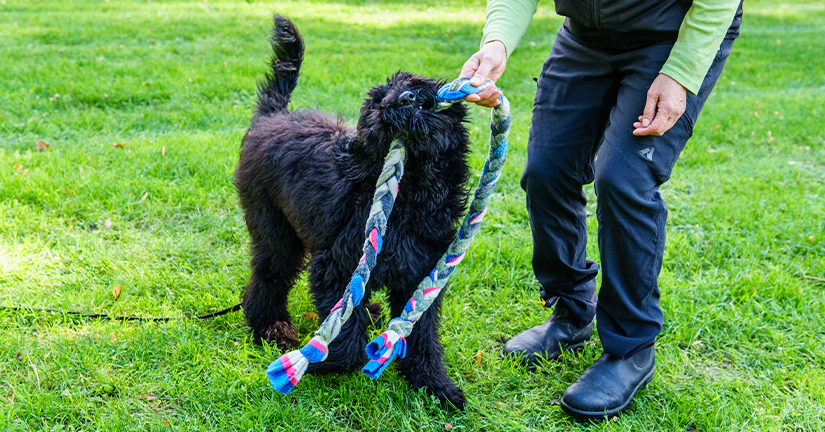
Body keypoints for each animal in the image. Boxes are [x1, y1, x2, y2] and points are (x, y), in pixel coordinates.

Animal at [235, 16, 470, 408]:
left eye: (414, 85)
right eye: (378, 101)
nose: (405, 99)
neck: (409, 199)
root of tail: (272, 117)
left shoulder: (422, 271)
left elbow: (420, 335)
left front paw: (434, 383)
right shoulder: (336, 263)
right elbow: (348, 341)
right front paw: (318, 361)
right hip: (274, 230)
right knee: (268, 278)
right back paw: (272, 329)